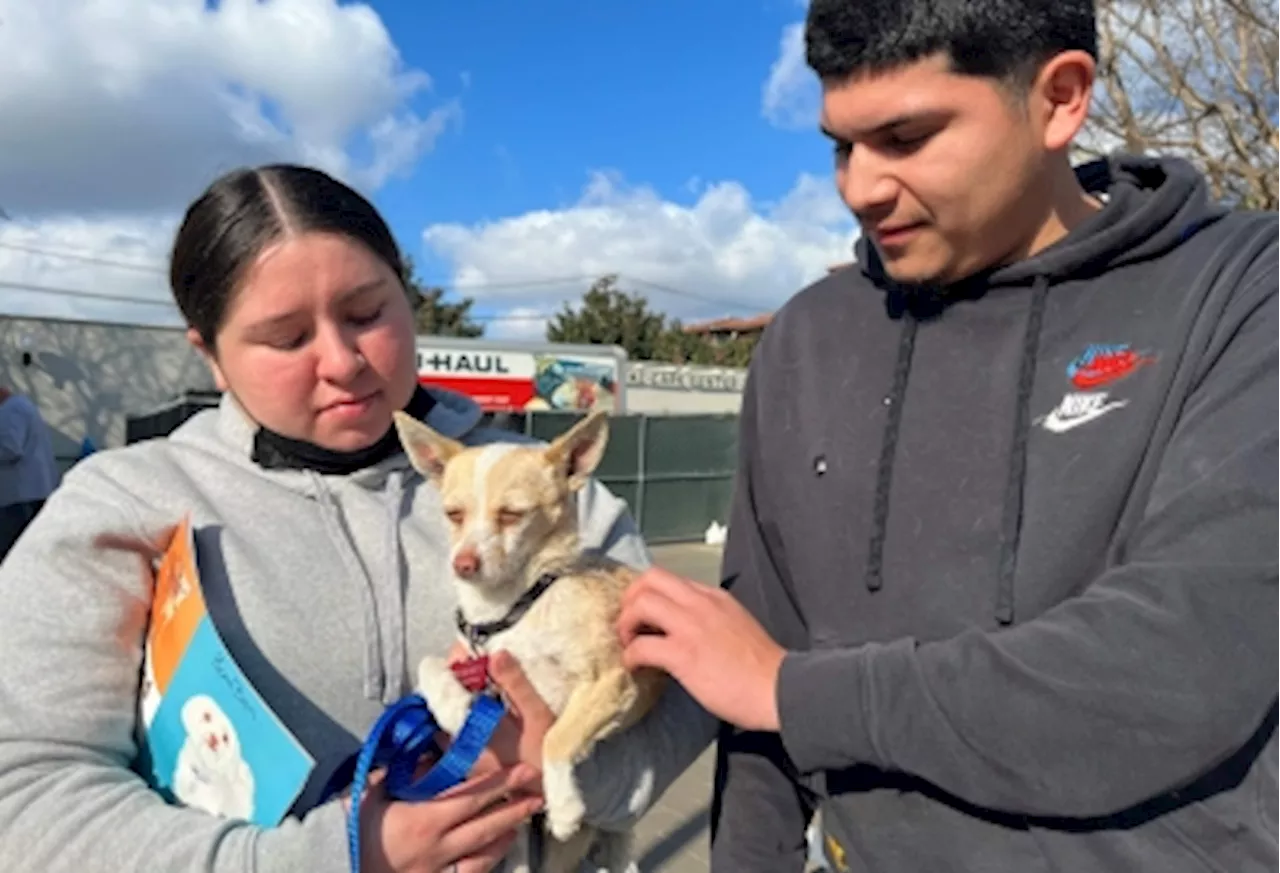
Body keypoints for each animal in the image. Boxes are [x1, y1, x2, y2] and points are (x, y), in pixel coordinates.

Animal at [394, 407, 665, 870]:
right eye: (453, 514)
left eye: (511, 514)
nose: (462, 563)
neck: (517, 609)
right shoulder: (471, 658)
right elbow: (429, 664)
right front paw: (452, 706)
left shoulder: (613, 683)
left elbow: (555, 738)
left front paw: (565, 805)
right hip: (520, 837)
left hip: (604, 844)